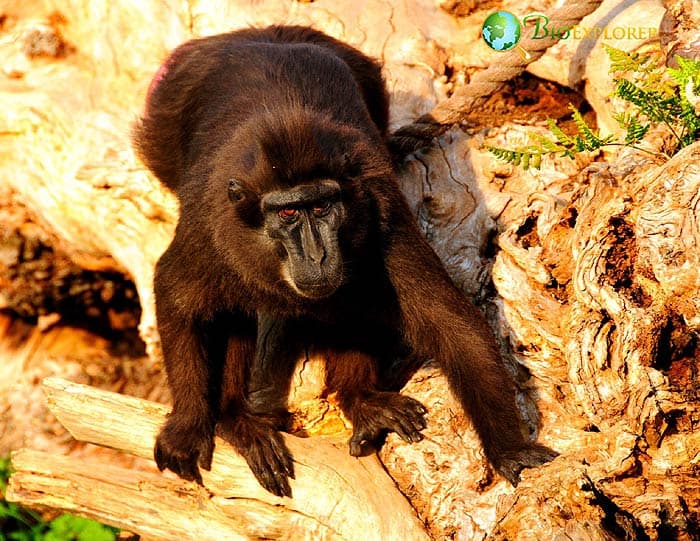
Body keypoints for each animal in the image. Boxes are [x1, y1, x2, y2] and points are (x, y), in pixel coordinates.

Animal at [134, 25, 557, 498]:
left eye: (321, 207)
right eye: (287, 213)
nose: (317, 254)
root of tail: (261, 35)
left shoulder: (381, 212)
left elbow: (450, 323)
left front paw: (511, 449)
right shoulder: (211, 229)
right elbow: (177, 296)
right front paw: (188, 427)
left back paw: (359, 399)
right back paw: (236, 418)